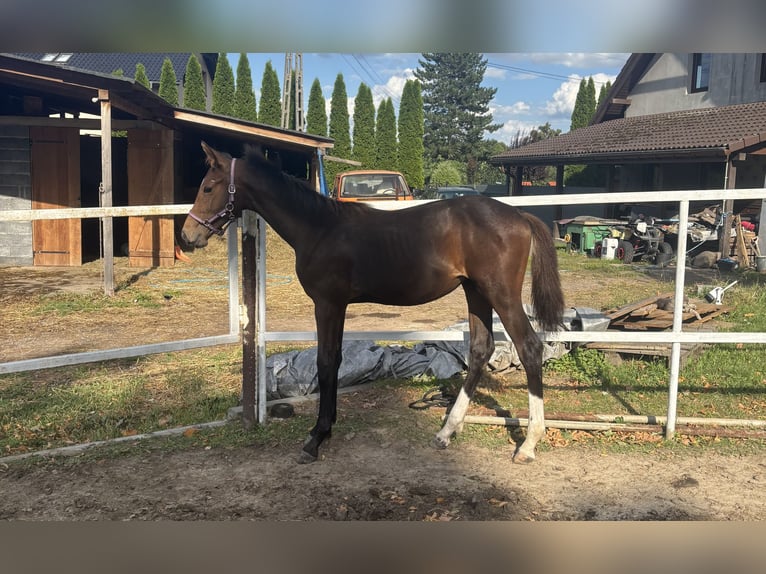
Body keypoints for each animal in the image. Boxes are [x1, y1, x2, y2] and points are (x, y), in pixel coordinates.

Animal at [181, 142, 565, 464]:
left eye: (208, 187)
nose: (187, 235)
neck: (318, 228)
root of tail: (520, 217)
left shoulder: (328, 303)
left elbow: (325, 362)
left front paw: (316, 438)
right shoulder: (338, 305)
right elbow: (334, 360)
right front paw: (325, 428)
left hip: (501, 293)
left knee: (530, 347)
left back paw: (528, 445)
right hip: (475, 292)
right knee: (481, 349)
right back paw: (445, 432)